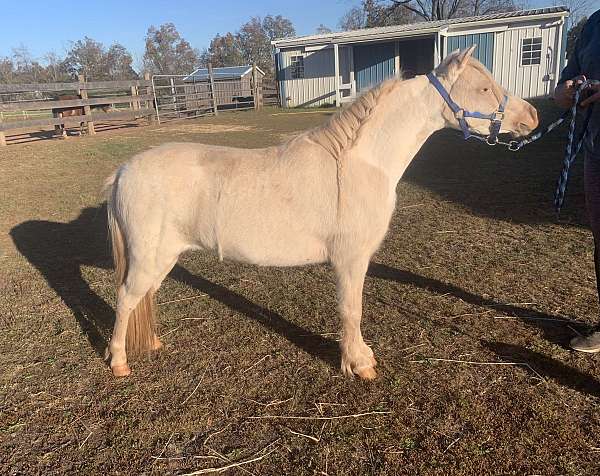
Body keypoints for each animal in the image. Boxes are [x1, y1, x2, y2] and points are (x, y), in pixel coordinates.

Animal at [104, 48, 540, 380]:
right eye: (484, 88)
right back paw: (119, 362)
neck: (361, 163)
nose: (531, 117)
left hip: (165, 256)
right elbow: (352, 310)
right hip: (148, 256)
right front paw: (359, 364)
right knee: (126, 298)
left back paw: (152, 343)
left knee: (146, 296)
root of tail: (122, 171)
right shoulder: (350, 260)